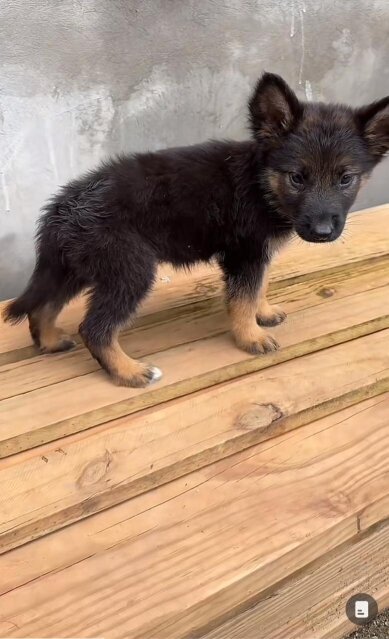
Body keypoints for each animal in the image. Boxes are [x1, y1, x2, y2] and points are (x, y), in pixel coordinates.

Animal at [3, 72, 388, 388]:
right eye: (297, 177)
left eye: (346, 179)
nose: (323, 232)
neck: (260, 183)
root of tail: (62, 206)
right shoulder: (244, 253)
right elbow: (242, 298)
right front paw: (250, 336)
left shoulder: (256, 254)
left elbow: (257, 288)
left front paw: (262, 313)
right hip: (129, 269)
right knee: (94, 328)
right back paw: (129, 371)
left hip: (77, 266)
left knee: (44, 305)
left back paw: (50, 342)